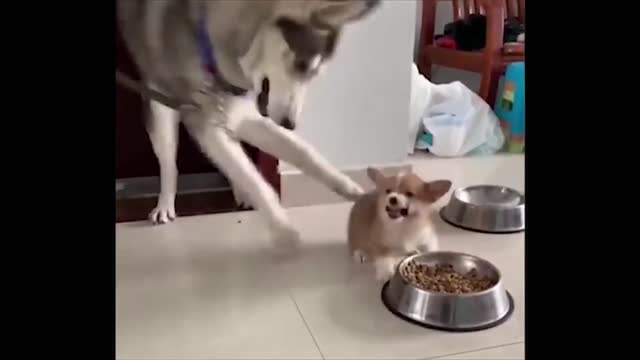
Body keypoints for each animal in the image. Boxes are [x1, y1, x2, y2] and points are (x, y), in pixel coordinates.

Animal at [116, 0, 380, 250]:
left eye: (313, 74)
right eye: (301, 64)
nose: (290, 124)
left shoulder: (245, 115)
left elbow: (304, 152)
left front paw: (350, 188)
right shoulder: (204, 121)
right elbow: (253, 179)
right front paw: (283, 229)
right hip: (159, 105)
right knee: (169, 162)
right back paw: (165, 204)